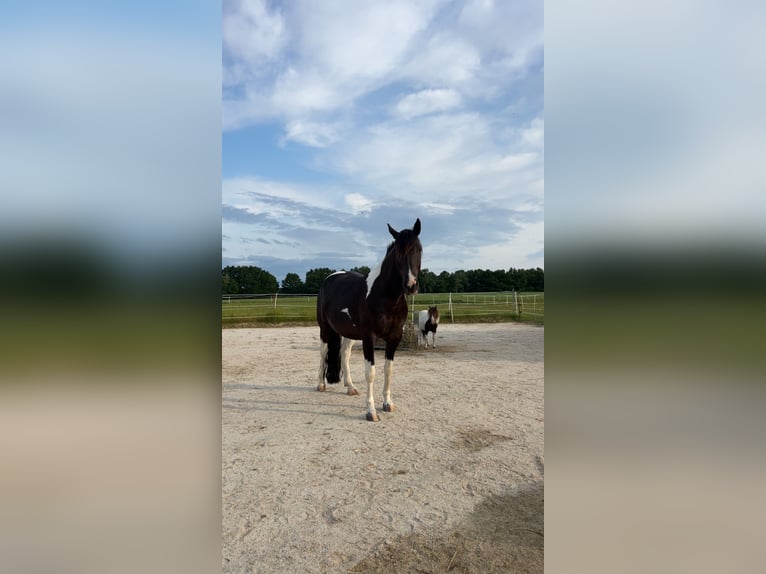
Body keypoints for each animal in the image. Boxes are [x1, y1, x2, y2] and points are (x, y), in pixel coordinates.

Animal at [316, 219, 422, 422]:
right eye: (399, 252)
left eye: (419, 249)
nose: (410, 285)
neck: (384, 296)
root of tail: (329, 278)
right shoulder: (369, 337)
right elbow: (370, 373)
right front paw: (371, 411)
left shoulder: (395, 337)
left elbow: (388, 370)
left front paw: (388, 403)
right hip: (324, 329)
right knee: (323, 352)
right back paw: (320, 385)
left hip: (348, 333)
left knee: (345, 354)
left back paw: (350, 387)